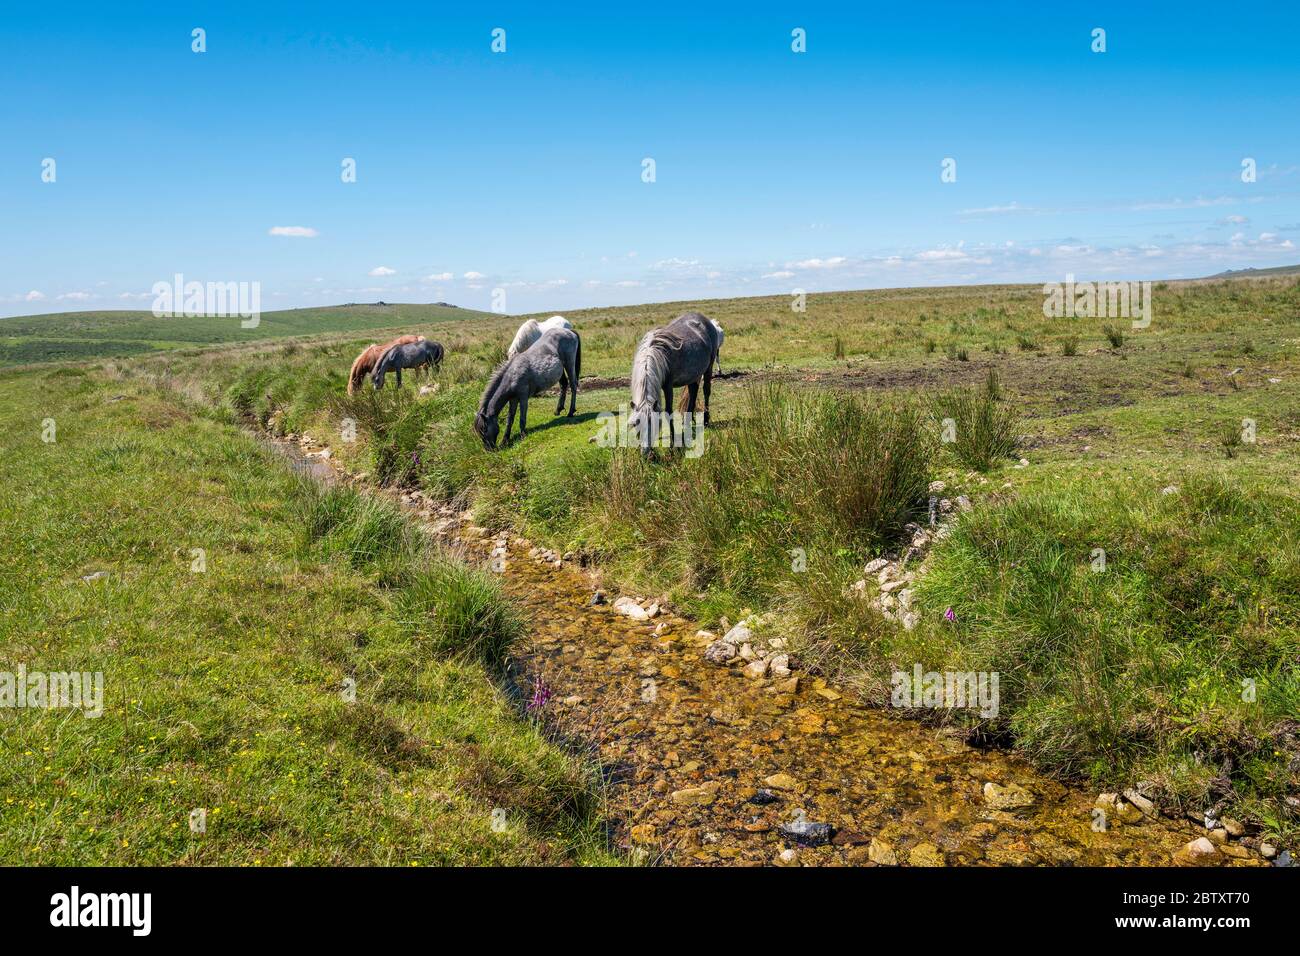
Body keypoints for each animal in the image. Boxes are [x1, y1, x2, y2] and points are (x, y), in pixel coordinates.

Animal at [629, 310, 722, 452]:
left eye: (652, 423)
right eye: (636, 424)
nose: (645, 452)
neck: (656, 354)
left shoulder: (668, 386)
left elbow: (668, 411)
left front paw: (673, 443)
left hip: (709, 367)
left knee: (706, 391)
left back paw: (705, 419)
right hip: (693, 375)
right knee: (693, 392)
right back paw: (688, 420)